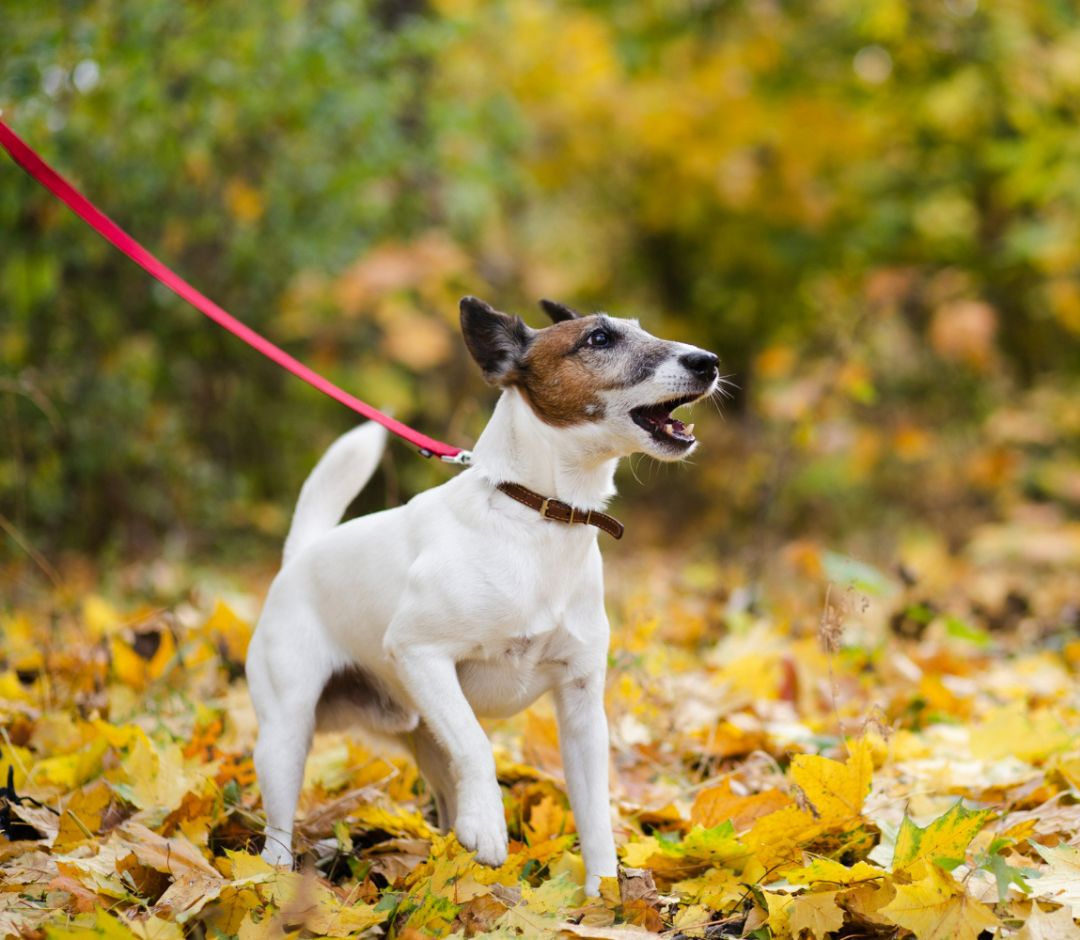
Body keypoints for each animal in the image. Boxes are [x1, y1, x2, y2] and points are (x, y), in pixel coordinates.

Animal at [245, 296, 717, 898]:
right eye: (599, 339)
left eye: (641, 329)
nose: (708, 361)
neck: (540, 516)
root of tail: (301, 554)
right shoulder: (417, 652)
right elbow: (477, 744)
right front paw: (490, 827)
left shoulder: (582, 706)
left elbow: (594, 815)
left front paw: (606, 897)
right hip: (287, 731)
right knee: (278, 829)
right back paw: (274, 881)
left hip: (422, 733)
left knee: (446, 802)